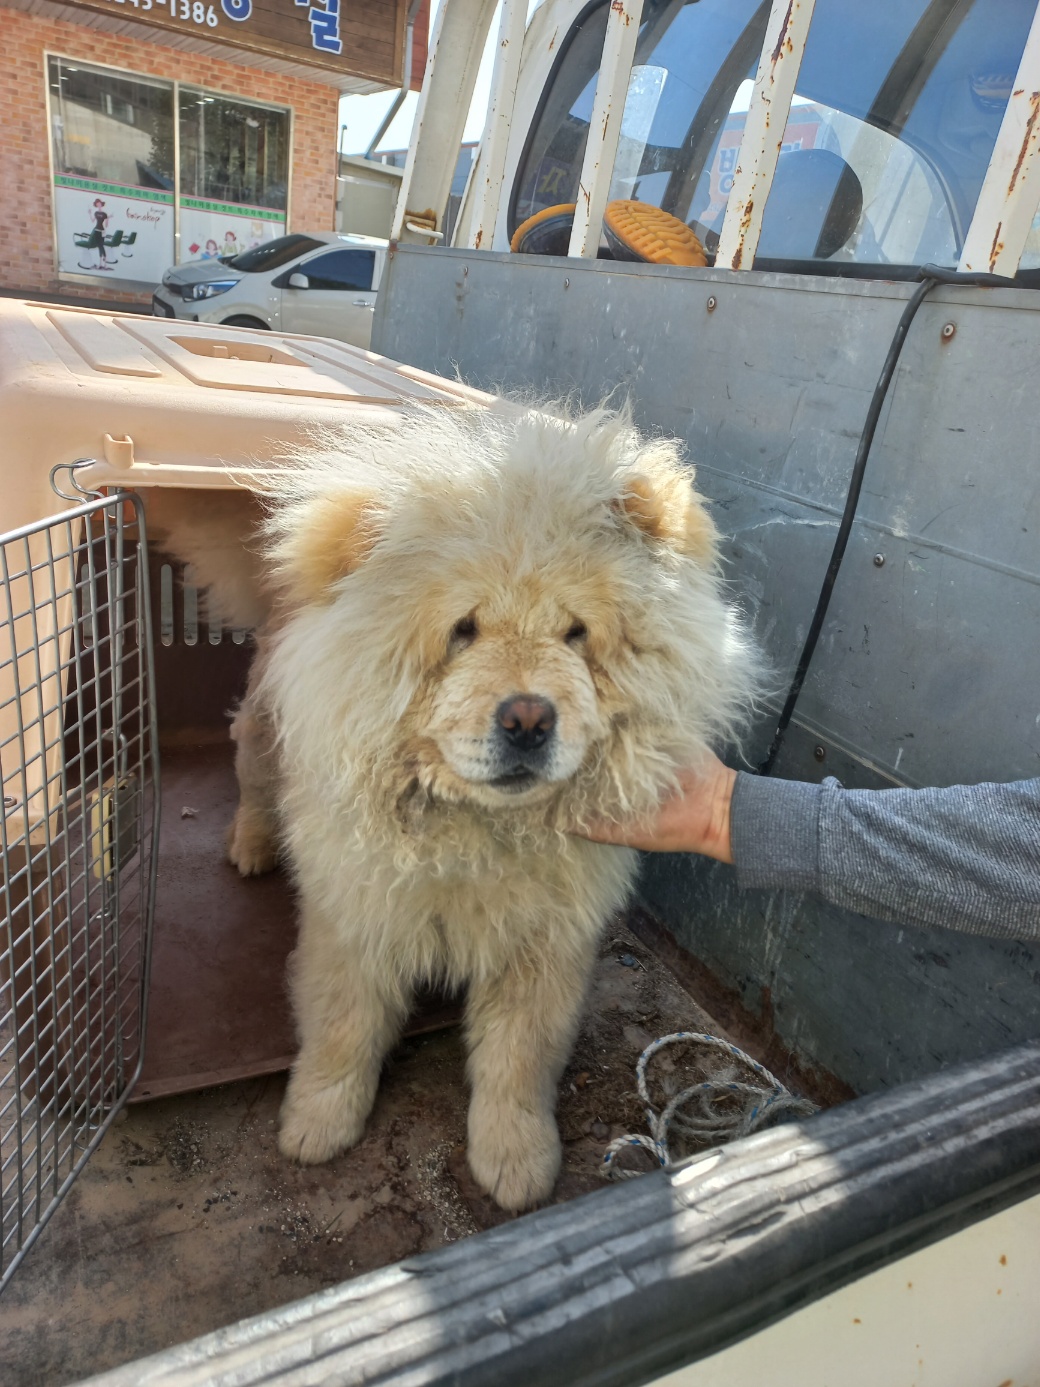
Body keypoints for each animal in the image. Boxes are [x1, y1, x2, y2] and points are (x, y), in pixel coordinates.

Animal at [148, 405, 759, 1209]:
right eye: (463, 630)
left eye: (575, 633)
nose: (529, 718)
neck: (474, 834)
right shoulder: (356, 923)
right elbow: (342, 1032)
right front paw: (316, 1126)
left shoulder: (545, 945)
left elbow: (518, 1061)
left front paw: (516, 1161)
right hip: (264, 732)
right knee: (250, 770)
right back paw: (250, 846)